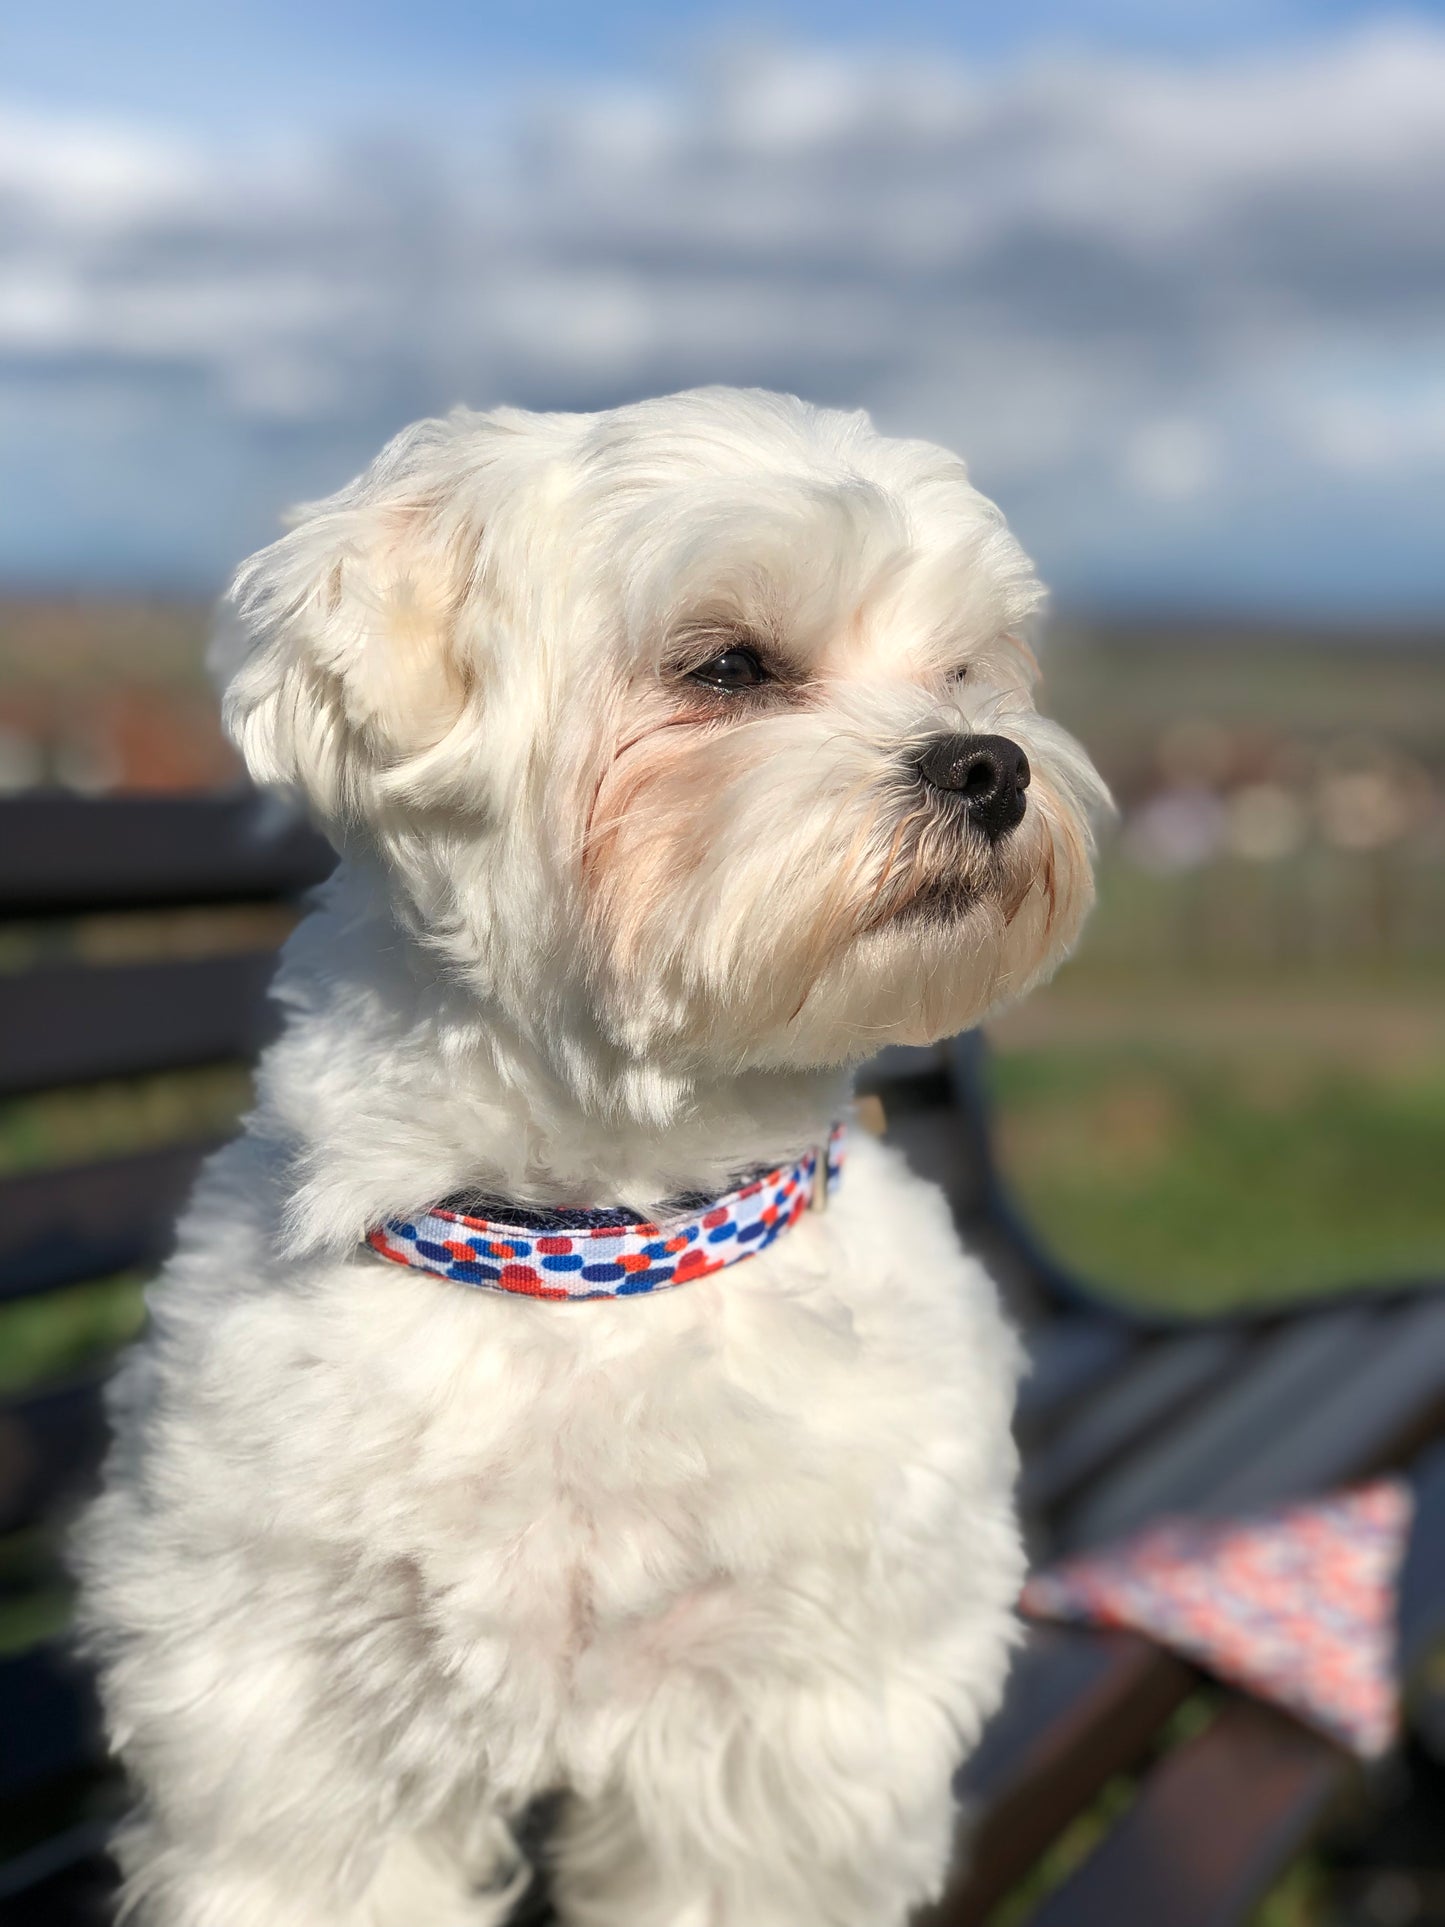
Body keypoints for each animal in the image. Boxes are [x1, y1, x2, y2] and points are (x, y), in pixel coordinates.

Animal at [73, 383, 1109, 1919]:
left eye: (967, 671)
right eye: (728, 665)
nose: (990, 761)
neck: (590, 1247)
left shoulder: (769, 1736)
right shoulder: (298, 1709)